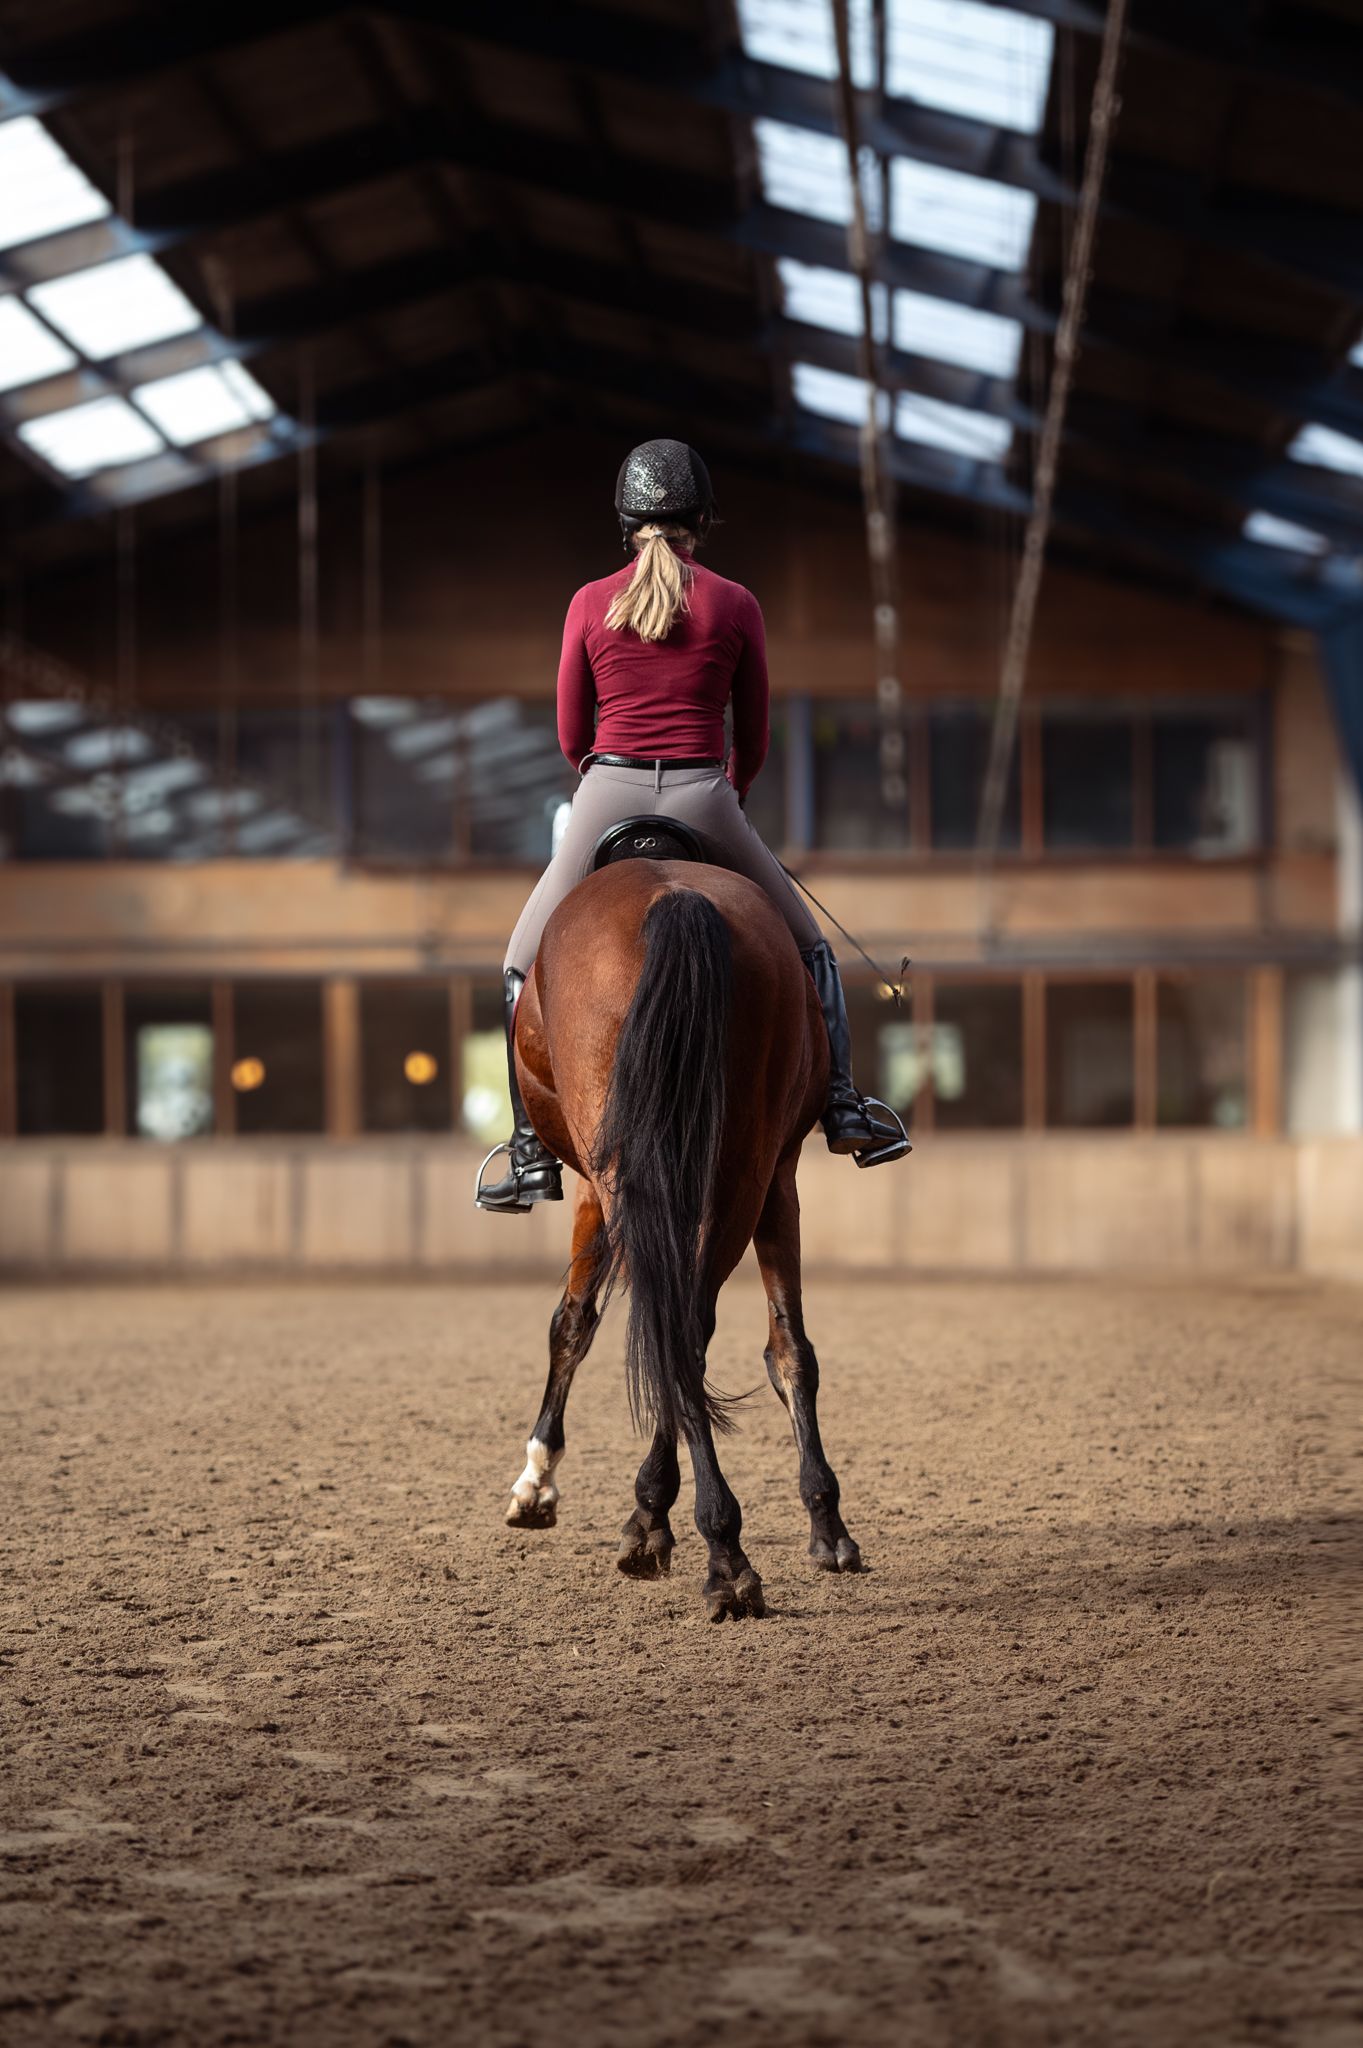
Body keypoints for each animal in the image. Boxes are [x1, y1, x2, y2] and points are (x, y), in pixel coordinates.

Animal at [500, 855, 862, 1622]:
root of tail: (669, 894)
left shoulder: (593, 1192)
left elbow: (571, 1323)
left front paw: (541, 1483)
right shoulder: (777, 1176)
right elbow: (787, 1348)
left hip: (655, 1177)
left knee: (671, 1327)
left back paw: (723, 1557)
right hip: (745, 1169)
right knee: (700, 1330)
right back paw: (761, 1540)